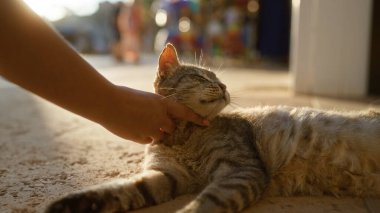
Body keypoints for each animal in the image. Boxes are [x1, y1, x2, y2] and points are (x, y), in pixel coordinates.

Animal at [47, 43, 380, 213]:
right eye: (201, 77)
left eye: (220, 79)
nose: (224, 86)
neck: (183, 137)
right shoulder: (167, 175)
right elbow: (125, 190)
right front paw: (73, 203)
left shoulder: (240, 170)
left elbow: (207, 202)